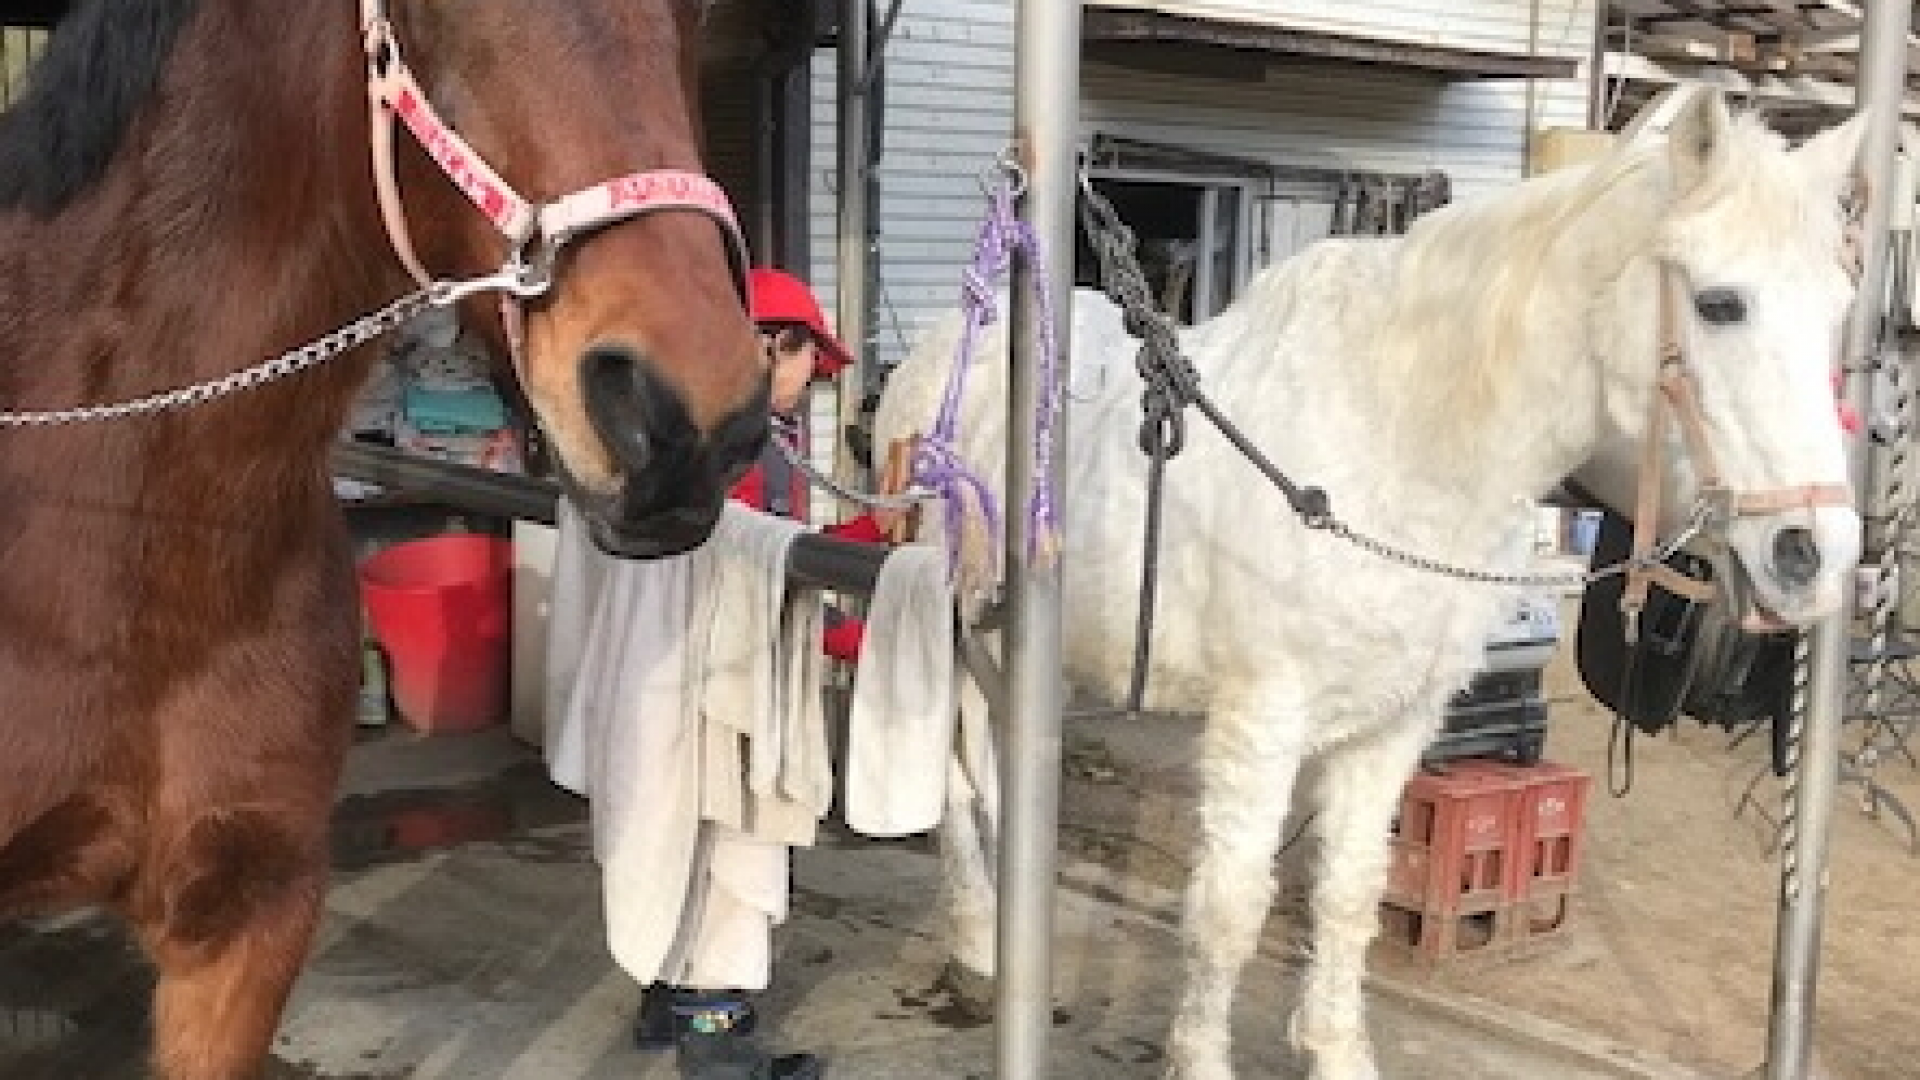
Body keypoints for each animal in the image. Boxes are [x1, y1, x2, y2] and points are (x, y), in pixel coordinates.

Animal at [874, 90, 1866, 1079]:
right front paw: (1199, 1057)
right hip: (958, 634)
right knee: (959, 787)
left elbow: (1349, 895)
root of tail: (944, 352)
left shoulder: (1394, 725)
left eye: (1840, 311)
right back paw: (978, 948)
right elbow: (1230, 908)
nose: (1815, 554)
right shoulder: (1260, 720)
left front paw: (1332, 1047)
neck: (1392, 442)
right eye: (1720, 303)